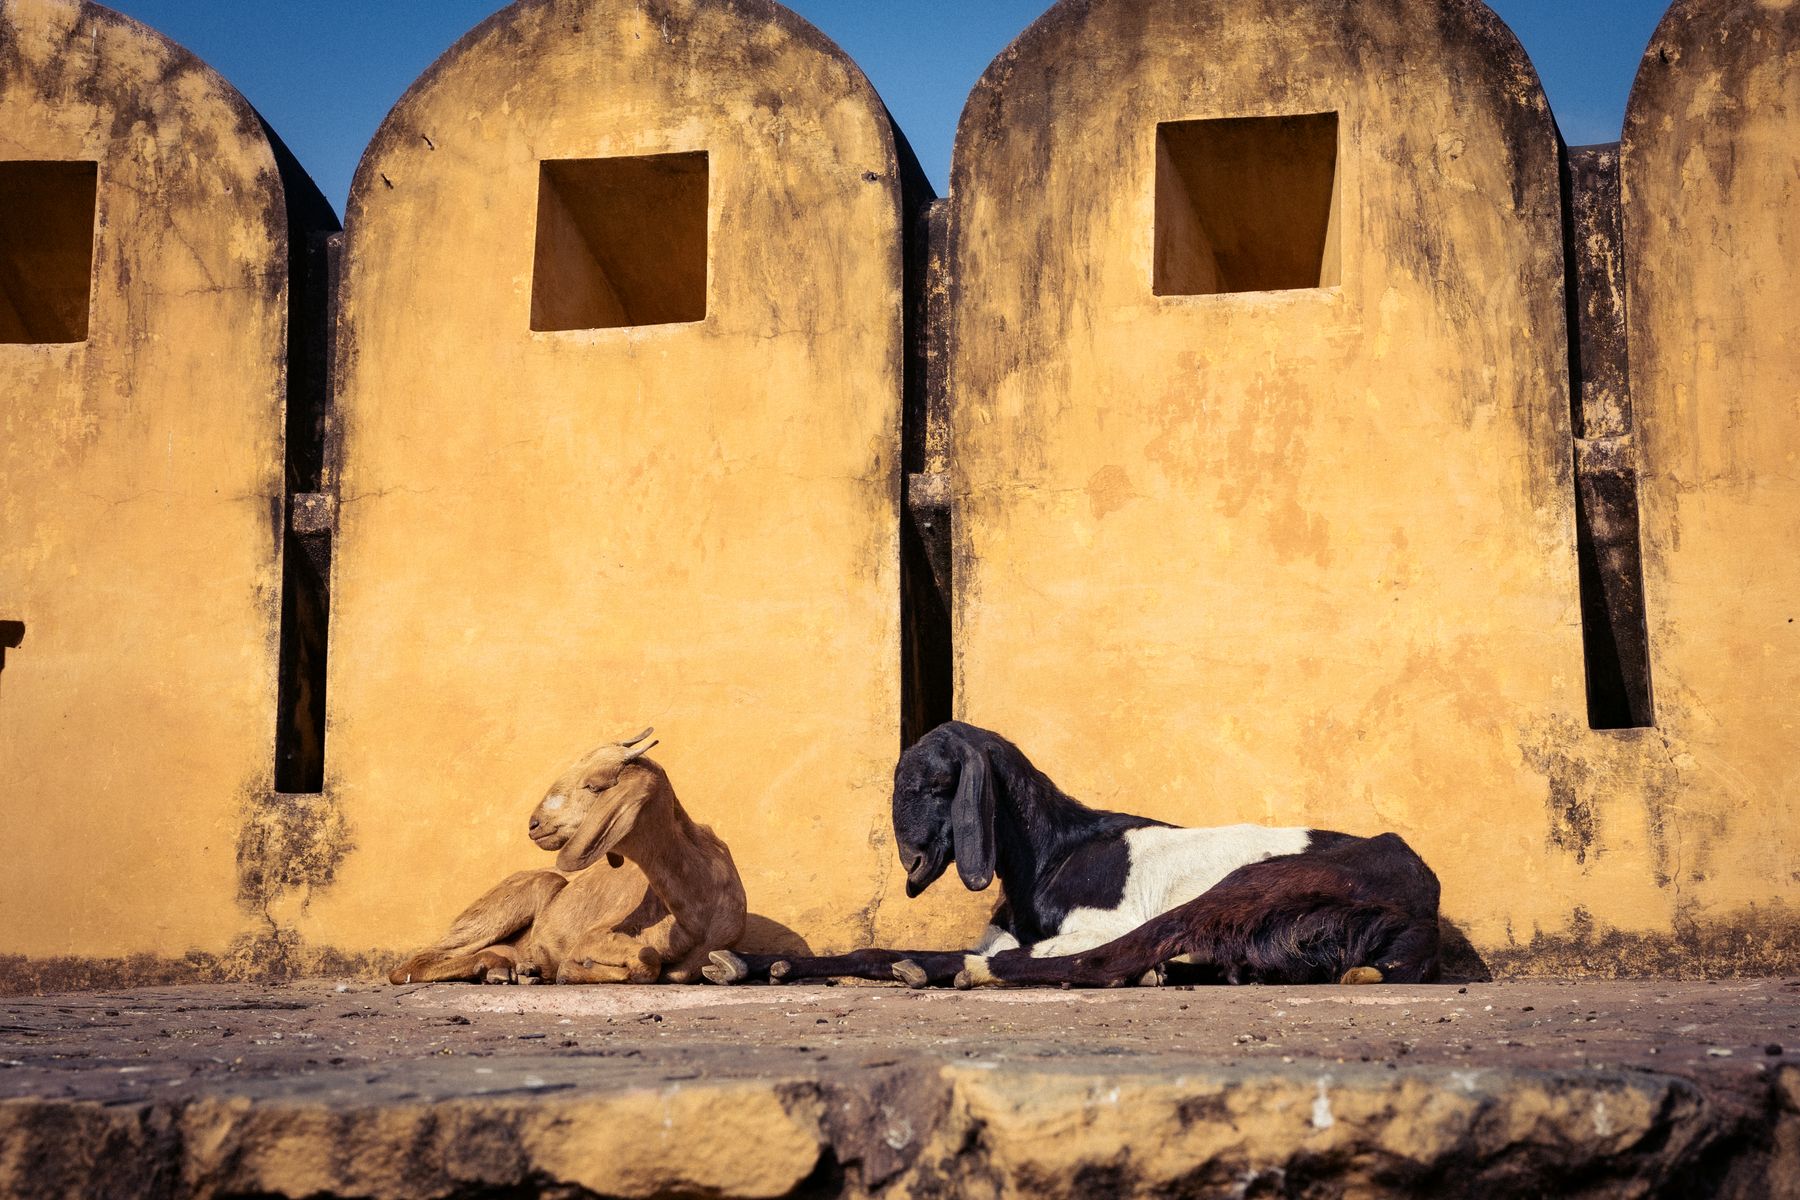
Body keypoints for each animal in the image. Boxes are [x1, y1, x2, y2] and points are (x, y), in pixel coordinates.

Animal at [391, 729, 746, 985]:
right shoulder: (593, 937)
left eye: (594, 785)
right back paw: (494, 966)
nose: (534, 824)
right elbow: (646, 961)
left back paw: (513, 969)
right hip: (518, 896)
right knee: (413, 964)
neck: (700, 899)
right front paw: (571, 970)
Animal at [705, 722, 1438, 988]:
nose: (910, 863)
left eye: (934, 784)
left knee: (1114, 957)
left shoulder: (1096, 921)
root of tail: (1420, 904)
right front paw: (761, 962)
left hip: (1255, 884)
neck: (1052, 854)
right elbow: (886, 947)